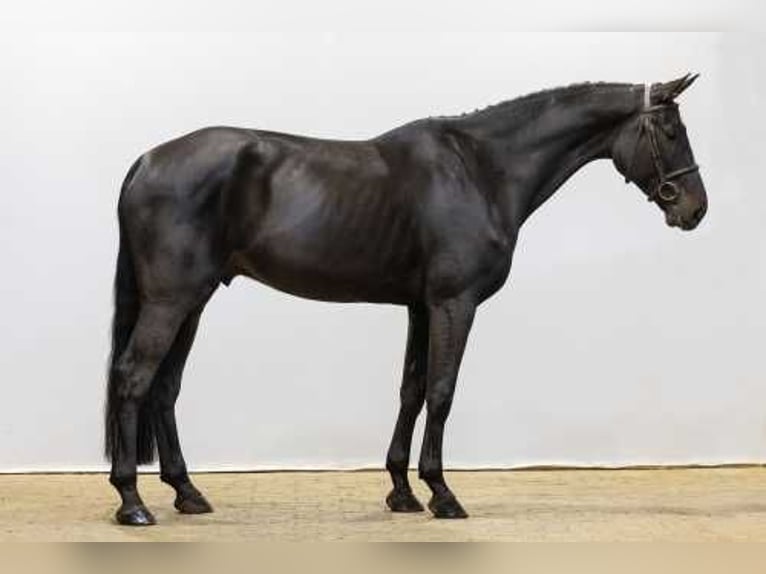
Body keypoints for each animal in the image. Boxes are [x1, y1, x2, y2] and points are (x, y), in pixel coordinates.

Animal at [105, 73, 712, 528]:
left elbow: (412, 390)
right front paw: (443, 494)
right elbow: (442, 392)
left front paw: (401, 490)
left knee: (164, 388)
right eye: (671, 131)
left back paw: (187, 493)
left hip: (193, 300)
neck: (482, 169)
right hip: (171, 300)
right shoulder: (453, 303)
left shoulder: (421, 307)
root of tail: (146, 160)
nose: (694, 209)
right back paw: (132, 502)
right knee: (134, 378)